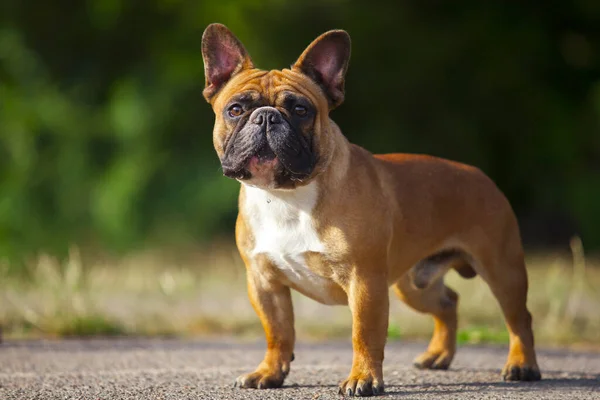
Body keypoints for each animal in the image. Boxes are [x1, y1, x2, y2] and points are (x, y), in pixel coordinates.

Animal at [199, 22, 540, 396]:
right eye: (235, 110)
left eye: (301, 110)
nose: (265, 117)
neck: (287, 196)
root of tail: (480, 175)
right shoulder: (263, 282)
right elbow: (278, 332)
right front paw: (269, 372)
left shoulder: (364, 281)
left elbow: (363, 333)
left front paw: (363, 378)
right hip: (413, 284)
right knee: (449, 302)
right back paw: (438, 355)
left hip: (501, 268)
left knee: (518, 317)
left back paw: (522, 365)